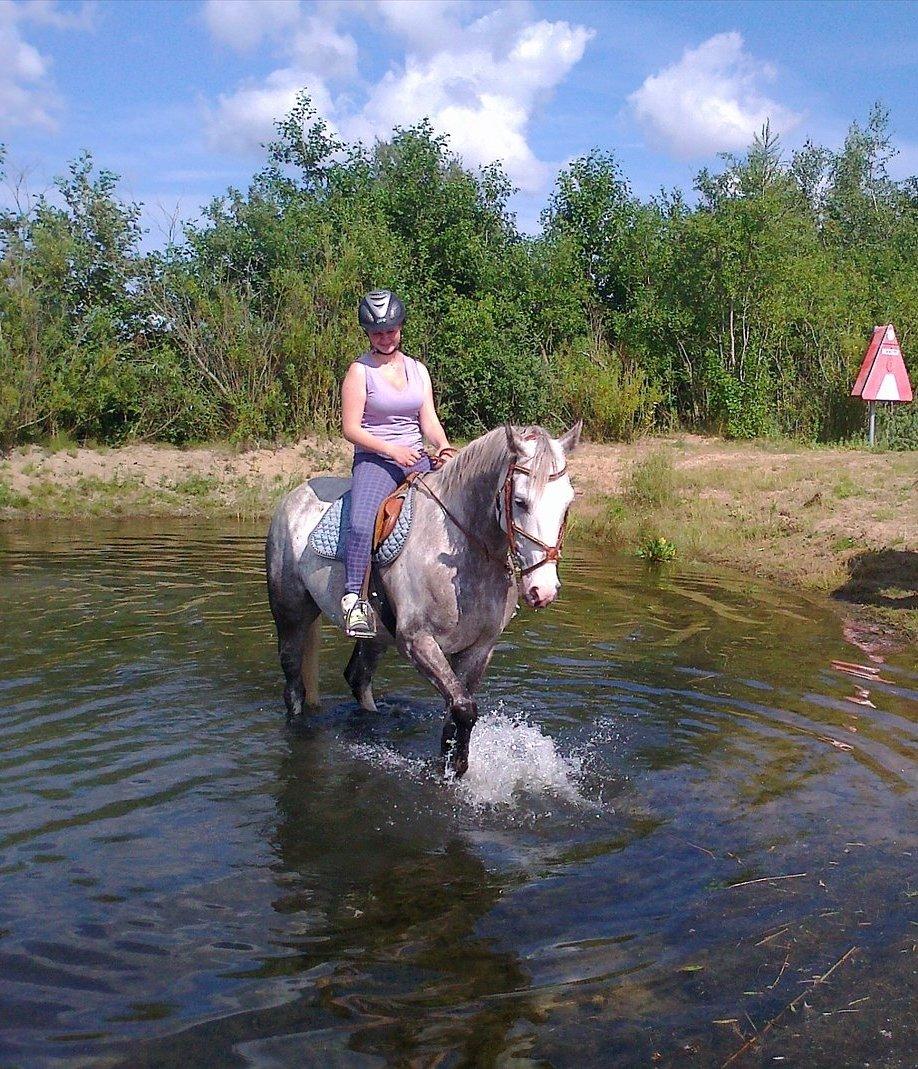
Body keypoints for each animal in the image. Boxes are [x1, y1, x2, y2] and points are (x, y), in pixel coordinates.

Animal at [266, 419, 581, 778]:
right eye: (520, 501)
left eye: (567, 502)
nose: (543, 590)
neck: (462, 552)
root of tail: (293, 497)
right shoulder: (418, 642)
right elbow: (464, 708)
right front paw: (457, 768)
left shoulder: (479, 650)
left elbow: (455, 711)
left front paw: (451, 764)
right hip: (291, 616)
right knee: (293, 683)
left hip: (376, 636)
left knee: (358, 677)